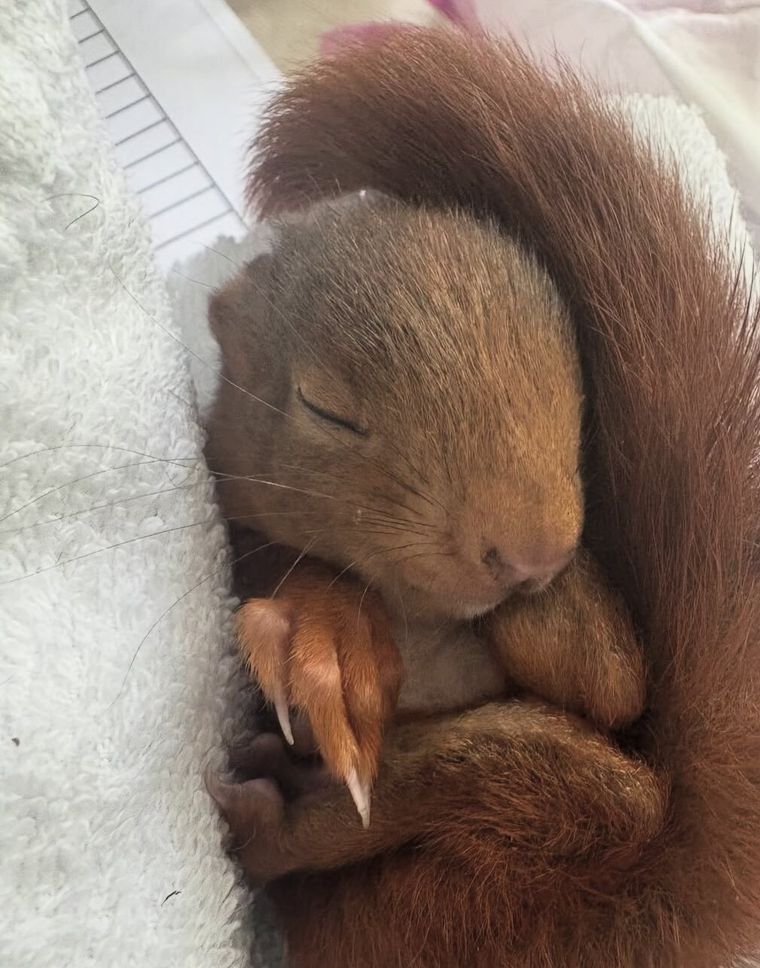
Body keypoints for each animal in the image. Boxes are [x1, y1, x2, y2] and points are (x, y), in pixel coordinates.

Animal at [203, 26, 760, 968]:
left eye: (575, 373)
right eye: (326, 408)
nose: (532, 549)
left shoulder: (599, 660)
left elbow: (618, 683)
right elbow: (263, 558)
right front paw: (322, 629)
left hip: (569, 796)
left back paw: (285, 812)